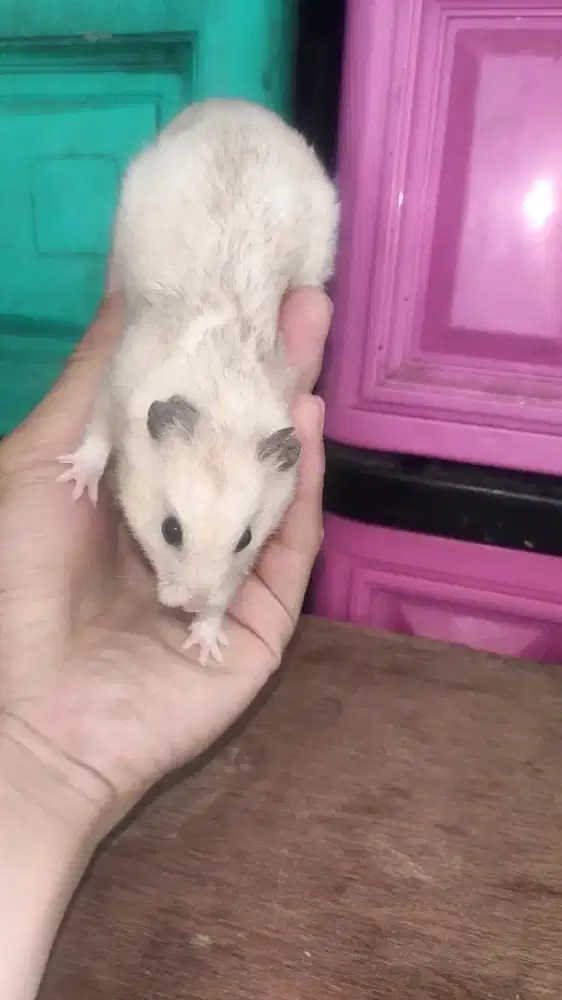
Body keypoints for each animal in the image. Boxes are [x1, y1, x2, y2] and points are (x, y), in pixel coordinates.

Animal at [57, 98, 339, 666]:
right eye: (170, 530)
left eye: (245, 539)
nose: (189, 604)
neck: (219, 391)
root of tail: (234, 104)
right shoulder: (118, 381)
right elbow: (98, 432)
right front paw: (76, 483)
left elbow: (228, 594)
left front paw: (206, 644)